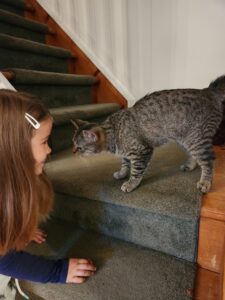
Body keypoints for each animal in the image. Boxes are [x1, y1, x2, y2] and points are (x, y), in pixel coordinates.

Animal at [71, 75, 225, 192]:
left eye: (80, 148)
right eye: (73, 145)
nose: (73, 153)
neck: (113, 131)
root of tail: (207, 90)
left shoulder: (142, 151)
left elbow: (136, 171)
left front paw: (130, 184)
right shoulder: (127, 153)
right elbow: (125, 164)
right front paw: (122, 173)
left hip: (196, 139)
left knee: (209, 161)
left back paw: (205, 182)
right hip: (184, 140)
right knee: (195, 157)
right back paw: (190, 165)